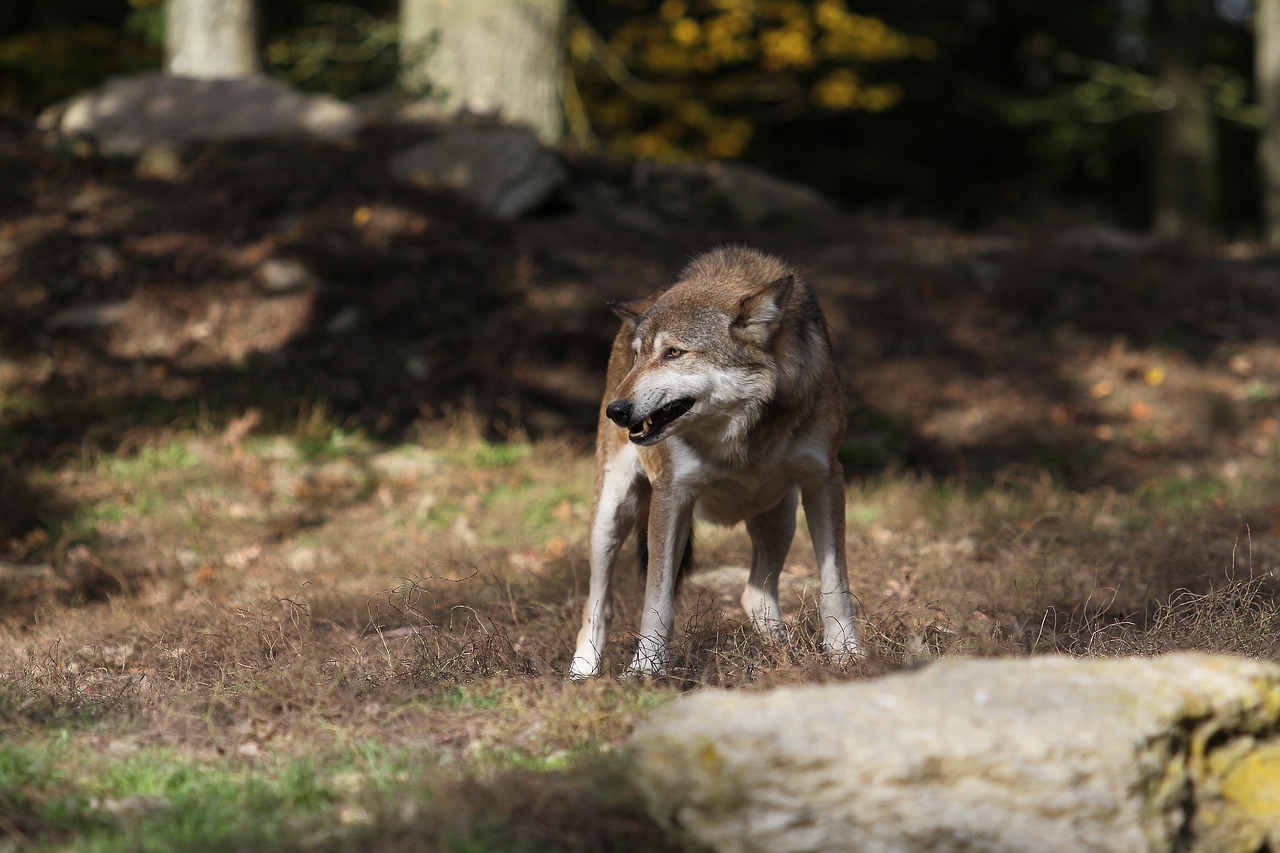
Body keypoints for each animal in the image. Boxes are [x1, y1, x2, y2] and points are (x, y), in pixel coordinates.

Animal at [573, 245, 865, 676]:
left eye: (673, 353)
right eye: (638, 356)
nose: (617, 411)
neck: (738, 433)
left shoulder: (825, 479)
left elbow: (835, 586)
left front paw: (847, 654)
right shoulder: (672, 494)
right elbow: (656, 602)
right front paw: (645, 670)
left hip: (781, 515)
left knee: (753, 595)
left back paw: (783, 655)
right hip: (611, 514)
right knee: (597, 603)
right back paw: (582, 673)